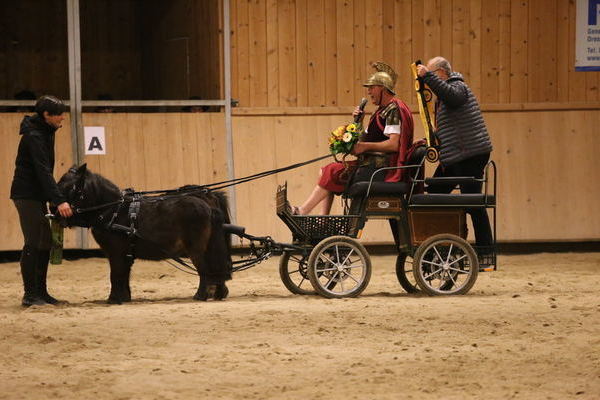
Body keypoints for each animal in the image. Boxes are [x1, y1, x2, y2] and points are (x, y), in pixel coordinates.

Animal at [57, 164, 232, 304]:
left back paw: (200, 295)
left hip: (195, 249)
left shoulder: (115, 253)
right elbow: (124, 275)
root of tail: (208, 205)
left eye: (70, 187)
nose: (55, 211)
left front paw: (113, 299)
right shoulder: (125, 254)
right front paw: (124, 297)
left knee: (204, 269)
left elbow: (115, 274)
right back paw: (218, 292)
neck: (113, 210)